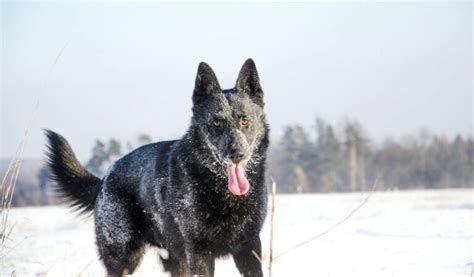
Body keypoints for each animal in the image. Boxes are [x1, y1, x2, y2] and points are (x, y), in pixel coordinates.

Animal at [46, 57, 272, 274]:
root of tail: (105, 178)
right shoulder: (199, 254)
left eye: (244, 121)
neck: (222, 192)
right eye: (217, 123)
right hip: (123, 259)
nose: (237, 154)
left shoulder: (249, 248)